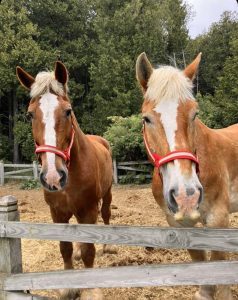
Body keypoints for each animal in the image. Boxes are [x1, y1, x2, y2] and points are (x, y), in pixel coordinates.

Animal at [16, 61, 113, 300]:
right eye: (30, 115)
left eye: (68, 111)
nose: (53, 176)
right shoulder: (58, 212)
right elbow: (65, 246)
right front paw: (69, 285)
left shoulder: (88, 209)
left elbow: (89, 250)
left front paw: (89, 289)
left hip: (107, 194)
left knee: (106, 214)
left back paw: (107, 246)